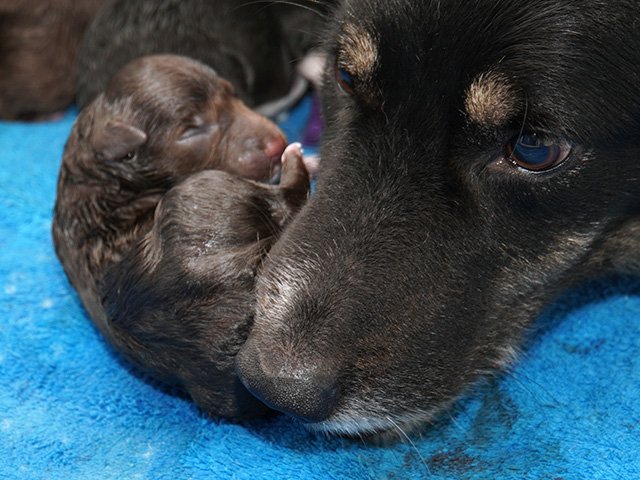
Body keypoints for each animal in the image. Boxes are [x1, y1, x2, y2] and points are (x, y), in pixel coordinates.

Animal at [52, 54, 303, 418]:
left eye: (231, 92)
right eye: (191, 130)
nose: (276, 145)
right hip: (205, 189)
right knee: (285, 200)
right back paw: (295, 160)